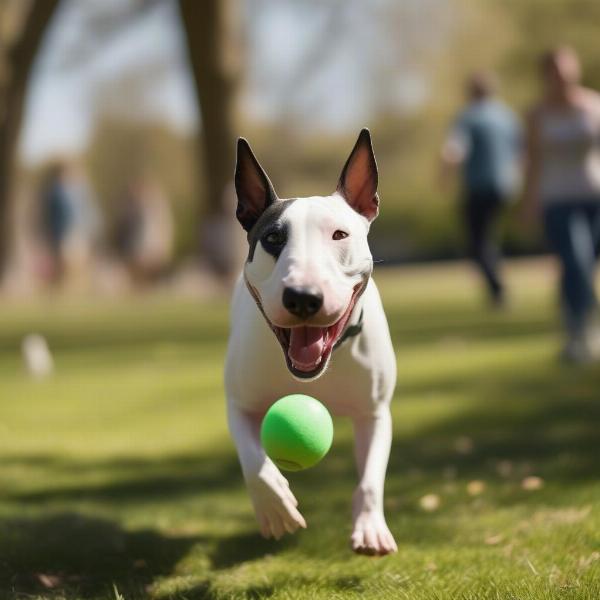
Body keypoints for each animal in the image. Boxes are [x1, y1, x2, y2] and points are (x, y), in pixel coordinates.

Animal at [225, 129, 398, 556]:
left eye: (340, 234)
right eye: (272, 237)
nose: (303, 297)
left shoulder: (375, 412)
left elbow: (371, 479)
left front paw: (370, 527)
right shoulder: (239, 404)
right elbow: (254, 461)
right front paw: (274, 508)